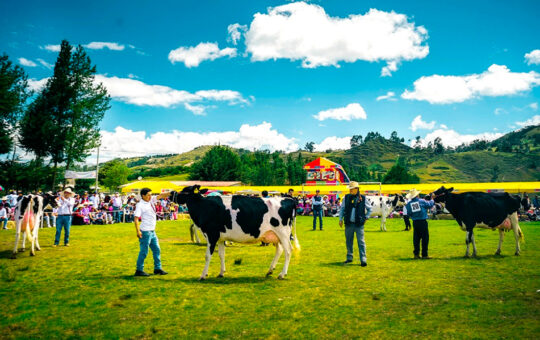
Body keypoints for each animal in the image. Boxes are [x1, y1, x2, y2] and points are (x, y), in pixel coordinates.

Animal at [171, 187, 300, 280]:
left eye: (185, 190)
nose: (172, 193)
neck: (204, 207)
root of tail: (289, 199)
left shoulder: (212, 235)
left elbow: (207, 256)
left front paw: (203, 275)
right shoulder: (221, 238)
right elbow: (221, 254)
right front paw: (221, 273)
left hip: (283, 233)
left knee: (288, 250)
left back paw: (282, 274)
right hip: (274, 235)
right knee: (280, 250)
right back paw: (270, 270)